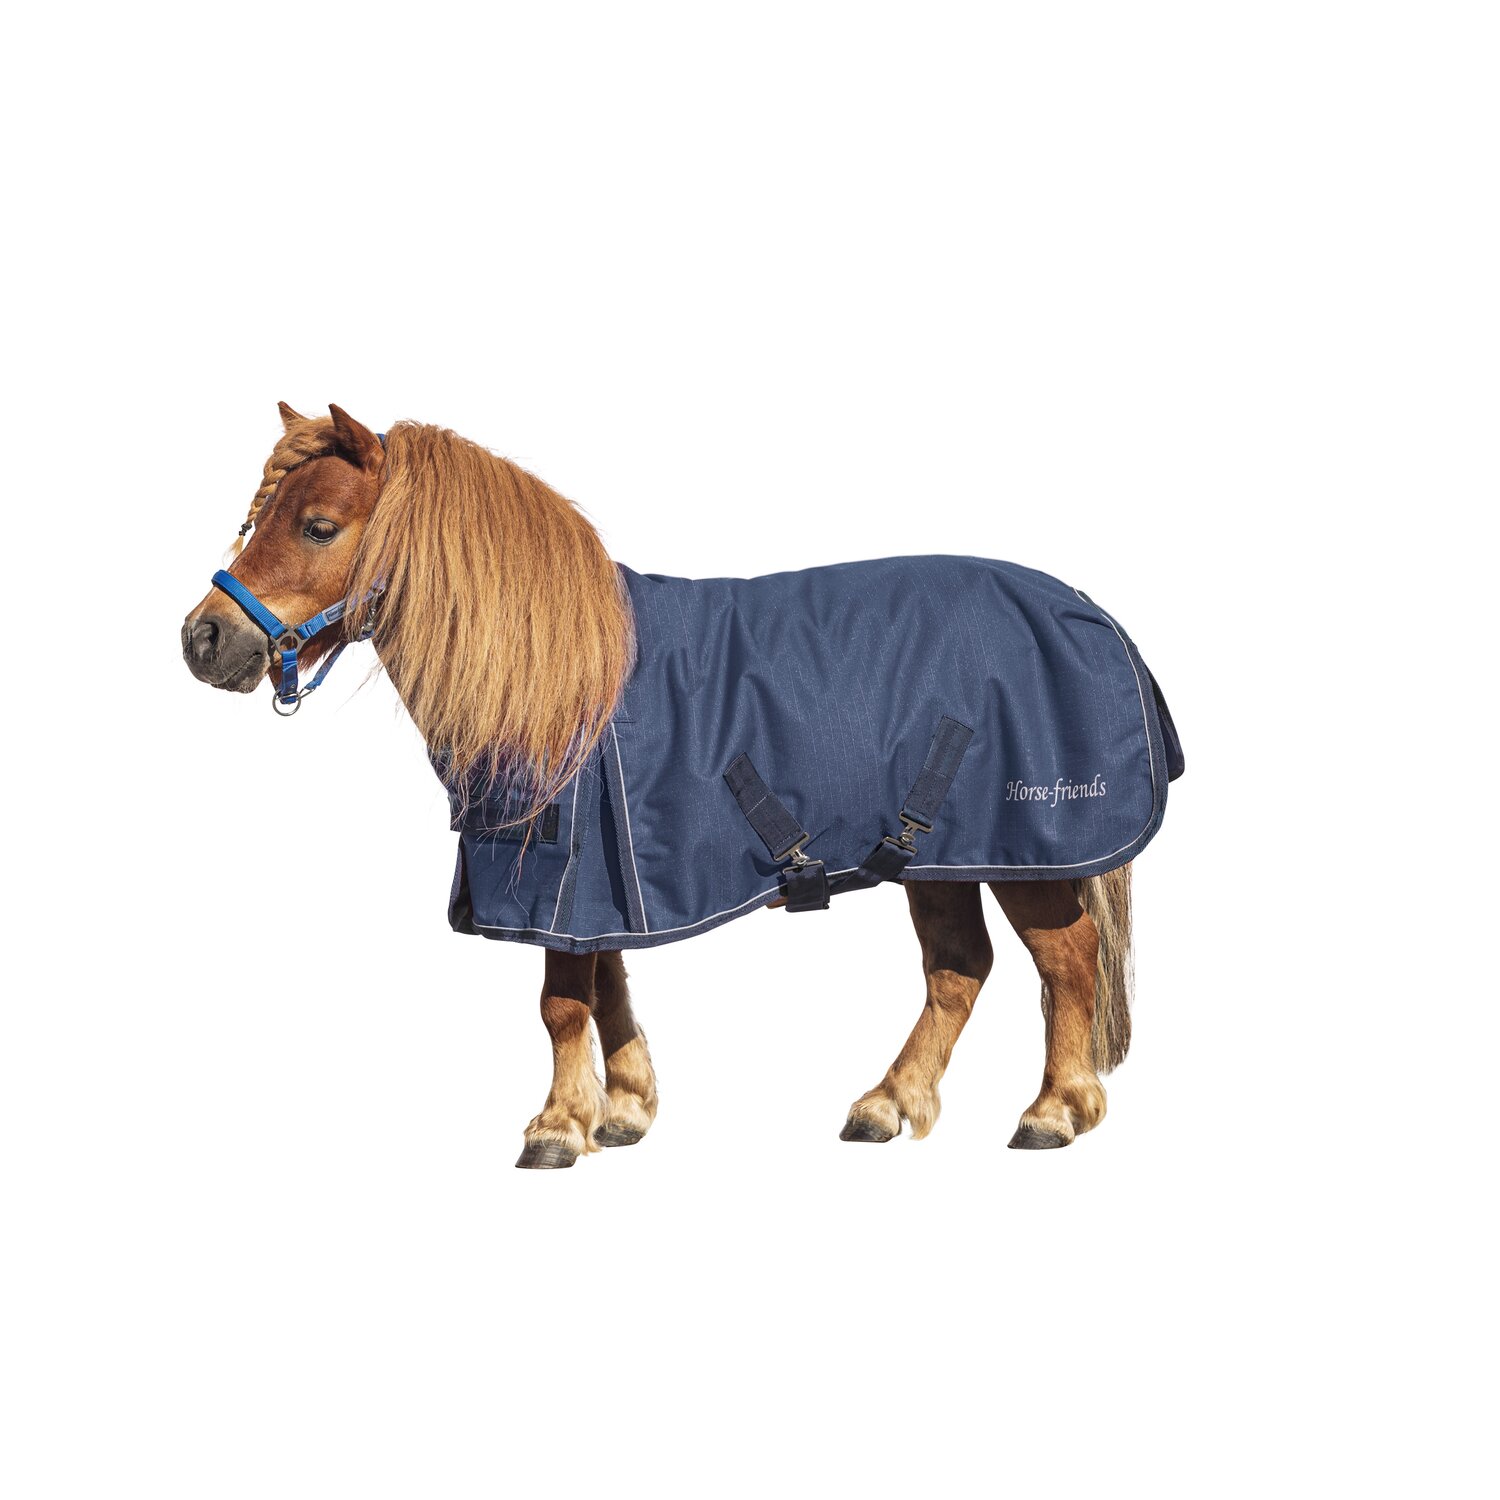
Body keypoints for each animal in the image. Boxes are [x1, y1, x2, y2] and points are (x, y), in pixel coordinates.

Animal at [181, 404, 1182, 1168]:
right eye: (257, 517)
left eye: (318, 526)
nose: (203, 639)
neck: (562, 675)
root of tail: (1089, 613)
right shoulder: (604, 884)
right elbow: (610, 986)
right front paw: (622, 1111)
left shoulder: (564, 876)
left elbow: (563, 1002)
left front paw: (558, 1128)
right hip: (934, 857)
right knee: (957, 971)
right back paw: (887, 1104)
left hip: (1027, 850)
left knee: (1067, 964)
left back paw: (1053, 1112)